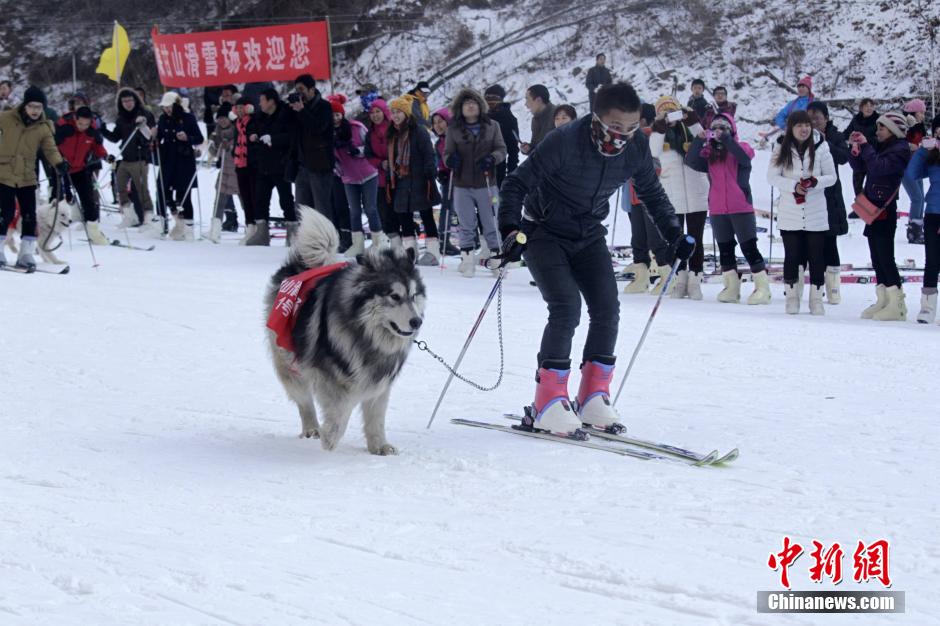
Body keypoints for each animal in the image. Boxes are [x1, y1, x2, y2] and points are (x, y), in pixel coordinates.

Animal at [264, 207, 426, 456]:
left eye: (414, 295)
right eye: (394, 296)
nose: (417, 322)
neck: (367, 334)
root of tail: (305, 265)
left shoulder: (379, 382)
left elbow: (376, 417)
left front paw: (379, 446)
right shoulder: (330, 378)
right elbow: (342, 409)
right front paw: (330, 438)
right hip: (289, 361)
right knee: (304, 399)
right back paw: (312, 429)